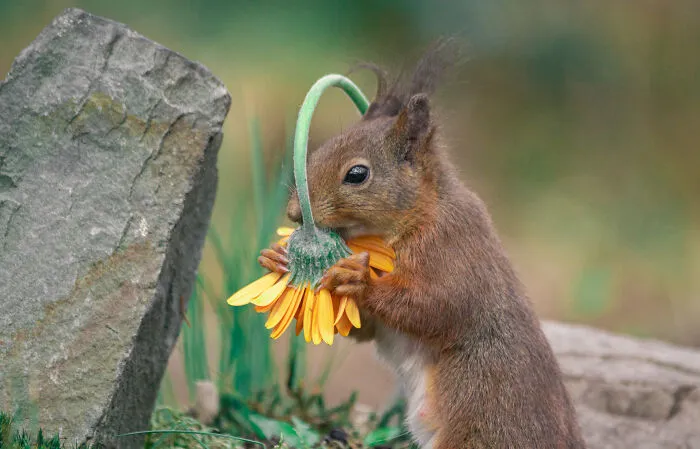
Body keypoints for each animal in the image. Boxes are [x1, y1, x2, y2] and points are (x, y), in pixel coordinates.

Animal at [259, 40, 586, 449]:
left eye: (357, 174)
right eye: (318, 151)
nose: (293, 213)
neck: (412, 218)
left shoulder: (453, 248)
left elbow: (439, 306)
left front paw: (359, 281)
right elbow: (364, 329)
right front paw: (275, 257)